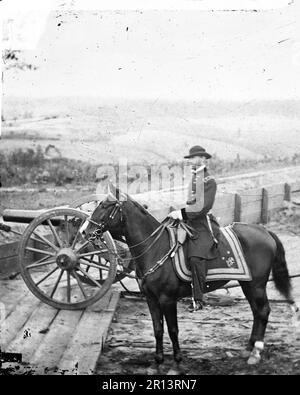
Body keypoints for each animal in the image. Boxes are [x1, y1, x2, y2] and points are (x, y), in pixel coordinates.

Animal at [84, 187, 300, 376]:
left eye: (105, 207)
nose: (85, 231)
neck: (156, 248)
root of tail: (265, 231)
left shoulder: (167, 299)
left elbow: (173, 330)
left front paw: (176, 364)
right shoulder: (151, 299)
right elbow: (158, 330)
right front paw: (157, 363)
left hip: (256, 285)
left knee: (263, 311)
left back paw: (256, 352)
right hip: (248, 284)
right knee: (256, 312)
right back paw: (249, 348)